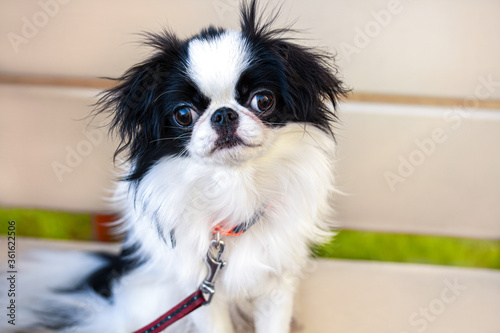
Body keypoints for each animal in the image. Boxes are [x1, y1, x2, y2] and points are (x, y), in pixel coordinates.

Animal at [3, 1, 348, 330]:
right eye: (183, 114)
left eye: (263, 101)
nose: (223, 114)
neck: (235, 183)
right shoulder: (201, 291)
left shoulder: (275, 286)